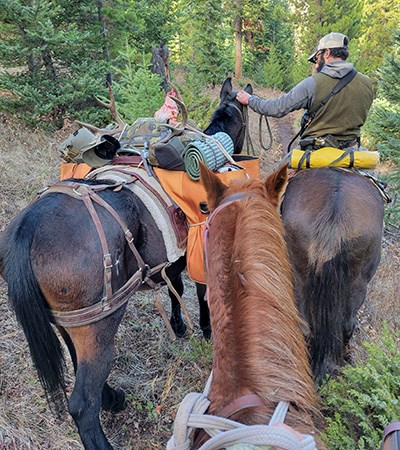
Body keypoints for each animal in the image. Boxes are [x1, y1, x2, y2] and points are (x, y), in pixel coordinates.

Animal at [0, 78, 252, 450]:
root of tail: (27, 229)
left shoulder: (171, 259)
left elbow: (176, 286)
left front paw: (178, 326)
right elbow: (200, 293)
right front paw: (205, 330)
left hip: (69, 322)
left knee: (76, 363)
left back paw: (114, 398)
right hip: (100, 323)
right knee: (82, 403)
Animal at [282, 169, 384, 384]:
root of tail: (335, 216)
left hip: (302, 274)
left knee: (307, 325)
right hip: (358, 281)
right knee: (347, 324)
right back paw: (345, 361)